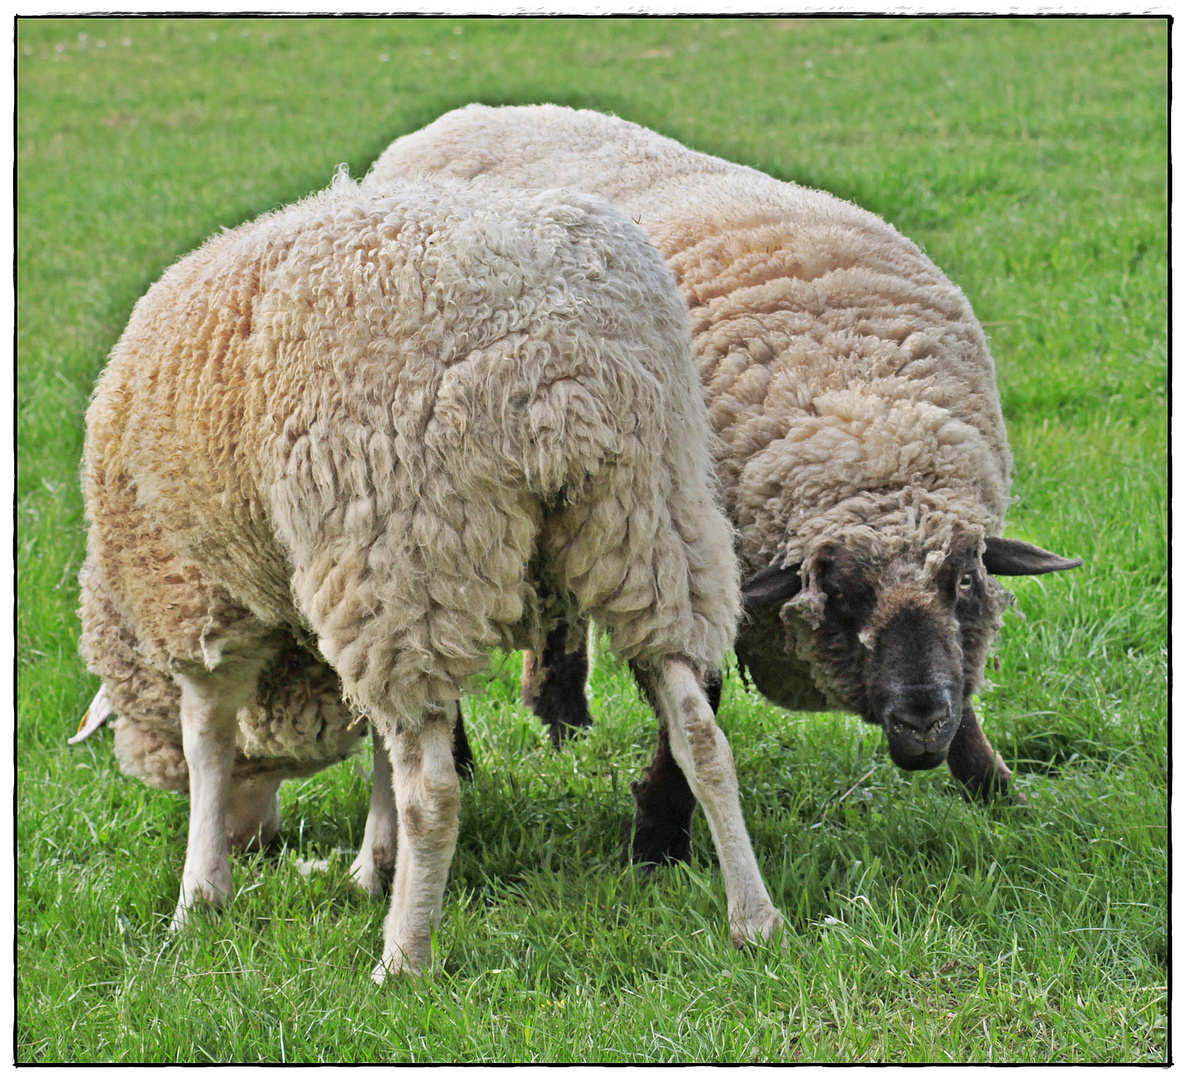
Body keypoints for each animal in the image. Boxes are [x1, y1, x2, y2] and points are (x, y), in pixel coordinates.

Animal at [76, 170, 778, 981]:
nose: (258, 846)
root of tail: (558, 354)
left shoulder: (199, 603)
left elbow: (210, 746)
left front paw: (199, 899)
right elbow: (380, 746)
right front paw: (371, 867)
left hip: (401, 545)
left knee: (435, 790)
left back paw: (402, 959)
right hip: (648, 525)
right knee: (701, 734)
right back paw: (755, 920)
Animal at [365, 105, 1081, 867]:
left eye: (967, 581)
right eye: (839, 593)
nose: (921, 725)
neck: (854, 401)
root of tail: (465, 115)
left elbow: (967, 693)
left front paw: (999, 795)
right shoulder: (692, 561)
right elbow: (698, 703)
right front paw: (658, 840)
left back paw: (564, 721)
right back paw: (467, 759)